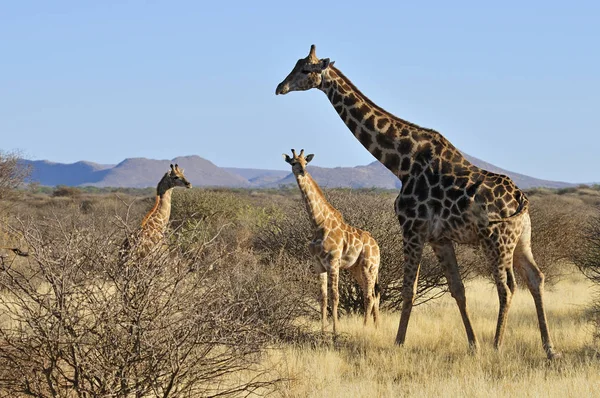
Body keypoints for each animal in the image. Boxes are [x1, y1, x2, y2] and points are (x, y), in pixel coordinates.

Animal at [282, 149, 380, 332]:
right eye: (293, 163)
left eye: (306, 162)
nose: (302, 172)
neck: (318, 224)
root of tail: (377, 246)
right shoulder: (318, 263)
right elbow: (323, 297)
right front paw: (323, 330)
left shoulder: (333, 262)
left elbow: (335, 295)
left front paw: (335, 330)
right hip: (357, 268)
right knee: (372, 294)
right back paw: (377, 326)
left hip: (368, 266)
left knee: (369, 296)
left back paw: (365, 327)